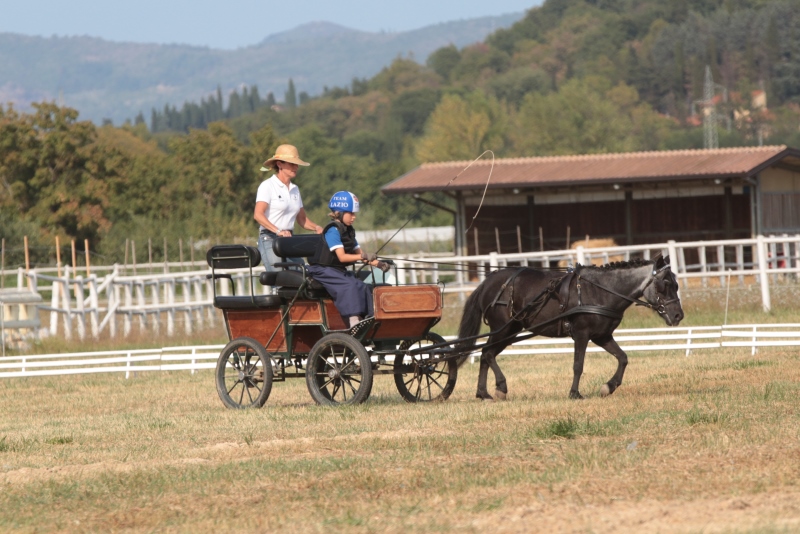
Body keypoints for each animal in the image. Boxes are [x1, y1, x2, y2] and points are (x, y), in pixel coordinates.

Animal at [460, 256, 684, 402]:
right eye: (665, 284)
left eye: (676, 284)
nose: (678, 316)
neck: (601, 291)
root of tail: (488, 282)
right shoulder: (581, 334)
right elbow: (578, 365)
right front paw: (575, 393)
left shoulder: (602, 336)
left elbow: (623, 358)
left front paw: (608, 387)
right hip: (502, 329)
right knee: (487, 353)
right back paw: (501, 387)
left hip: (510, 330)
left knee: (485, 354)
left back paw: (484, 393)